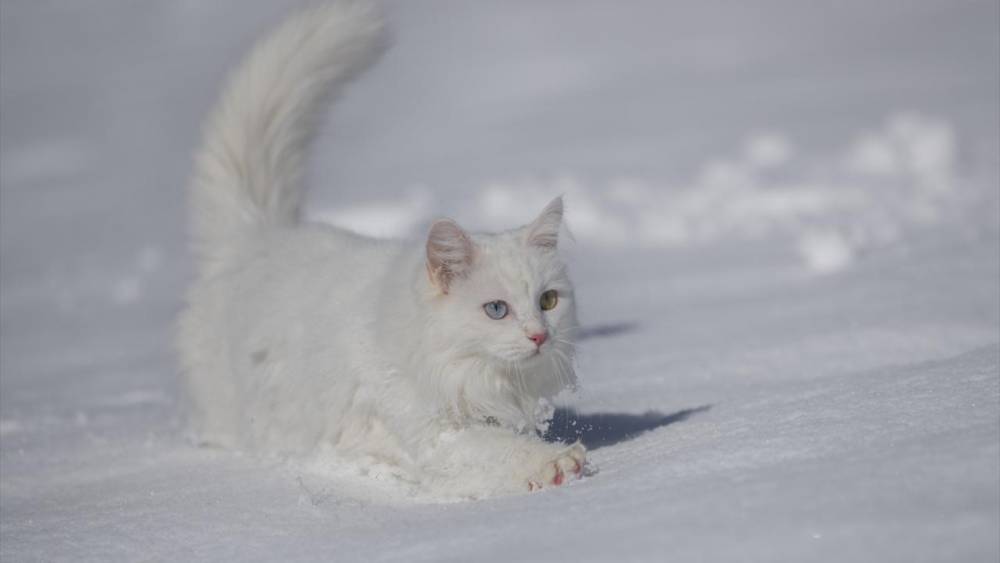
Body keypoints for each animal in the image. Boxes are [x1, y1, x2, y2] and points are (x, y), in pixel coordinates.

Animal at [178, 2, 584, 496]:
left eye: (548, 301)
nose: (539, 335)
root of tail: (257, 232)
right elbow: (499, 451)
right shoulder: (434, 436)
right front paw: (554, 463)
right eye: (496, 310)